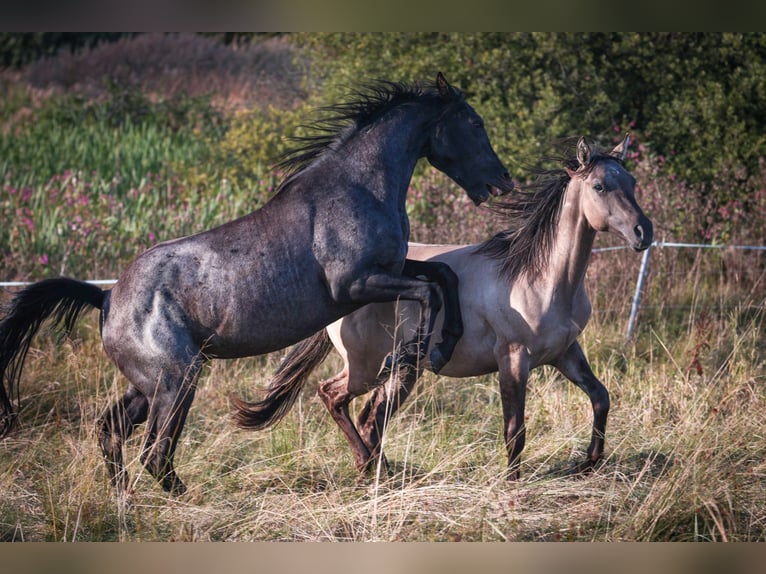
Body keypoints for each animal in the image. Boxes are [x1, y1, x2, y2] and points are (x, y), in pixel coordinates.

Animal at [0, 73, 514, 495]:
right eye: (473, 122)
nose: (503, 181)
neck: (359, 187)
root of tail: (106, 297)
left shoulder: (392, 268)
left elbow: (442, 275)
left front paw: (441, 343)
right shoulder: (356, 285)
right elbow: (427, 290)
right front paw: (422, 352)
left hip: (147, 386)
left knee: (111, 432)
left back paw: (125, 500)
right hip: (176, 381)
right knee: (154, 452)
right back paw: (190, 502)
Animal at [232, 135, 653, 480]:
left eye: (632, 183)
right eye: (600, 186)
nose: (643, 232)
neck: (541, 278)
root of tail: (341, 285)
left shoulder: (565, 353)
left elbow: (600, 397)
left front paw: (588, 462)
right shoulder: (514, 360)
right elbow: (514, 430)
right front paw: (512, 486)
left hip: (403, 369)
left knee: (371, 419)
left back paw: (382, 474)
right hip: (365, 368)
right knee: (334, 397)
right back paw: (369, 468)